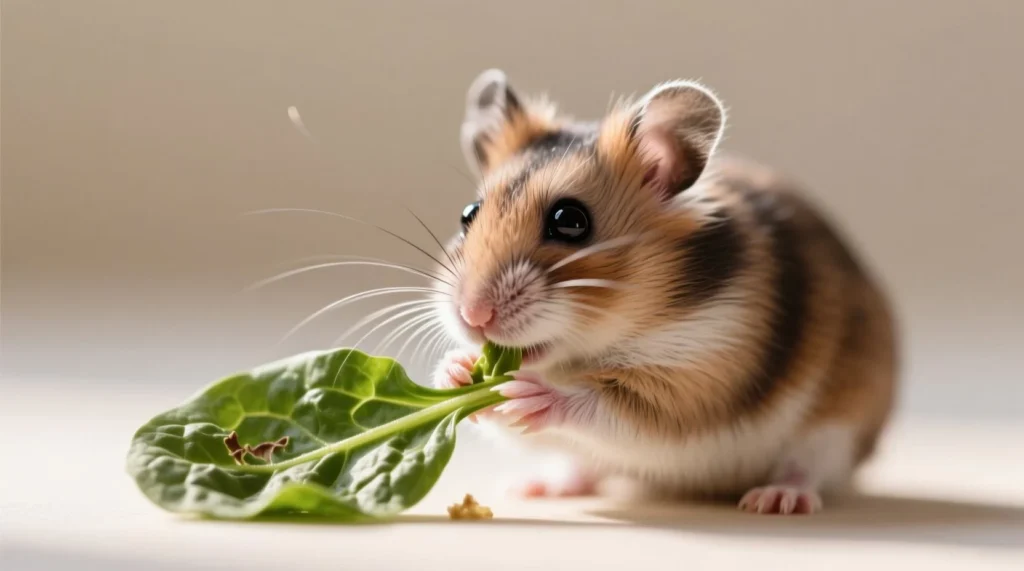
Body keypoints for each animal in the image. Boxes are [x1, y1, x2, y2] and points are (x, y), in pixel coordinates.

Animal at [430, 69, 898, 515]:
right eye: (468, 214)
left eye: (570, 221)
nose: (473, 316)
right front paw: (456, 371)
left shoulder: (705, 375)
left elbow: (612, 408)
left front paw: (530, 392)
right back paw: (537, 487)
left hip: (841, 423)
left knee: (809, 466)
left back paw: (775, 500)